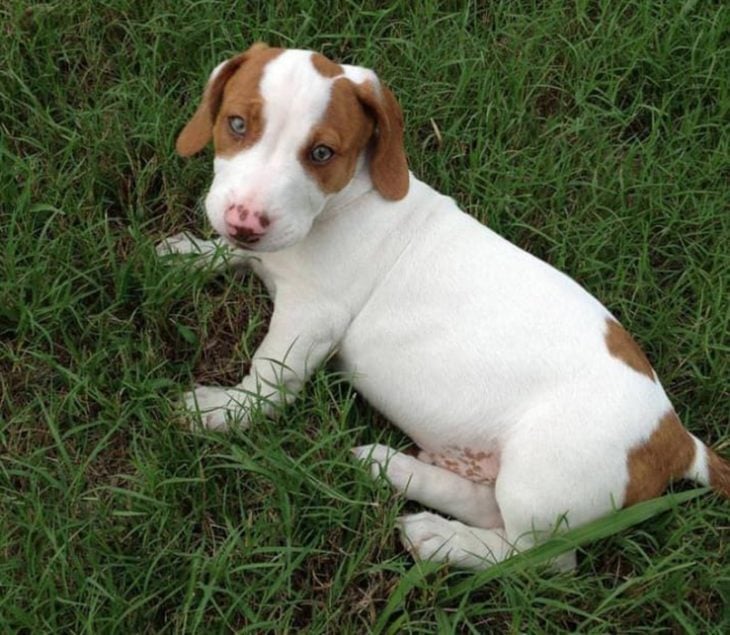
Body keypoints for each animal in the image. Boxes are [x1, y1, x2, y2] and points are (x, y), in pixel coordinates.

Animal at [159, 44, 728, 572]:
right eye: (236, 124)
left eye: (321, 153)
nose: (246, 221)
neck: (347, 201)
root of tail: (676, 439)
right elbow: (230, 255)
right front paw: (189, 255)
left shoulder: (312, 316)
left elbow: (269, 378)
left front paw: (223, 411)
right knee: (488, 508)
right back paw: (394, 470)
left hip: (541, 478)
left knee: (532, 560)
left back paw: (439, 538)